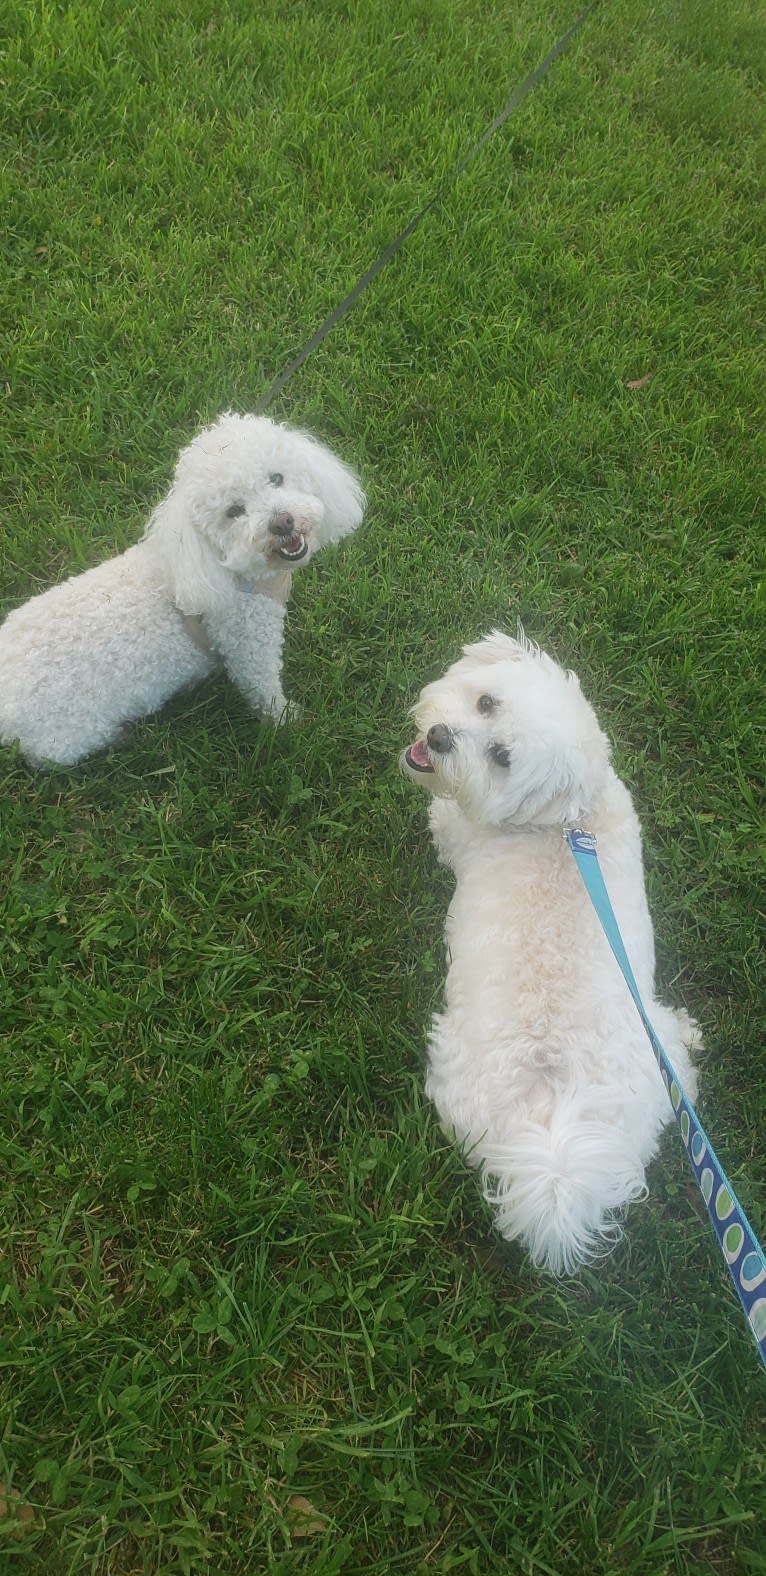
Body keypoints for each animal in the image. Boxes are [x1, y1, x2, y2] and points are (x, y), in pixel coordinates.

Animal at [0, 412, 365, 769]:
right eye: (234, 512)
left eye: (276, 478)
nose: (282, 522)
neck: (223, 568)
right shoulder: (248, 644)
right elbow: (263, 688)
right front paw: (286, 719)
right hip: (67, 736)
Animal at [400, 630, 699, 1279]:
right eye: (487, 702)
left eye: (501, 758)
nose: (440, 738)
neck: (565, 821)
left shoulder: (455, 831)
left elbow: (442, 820)